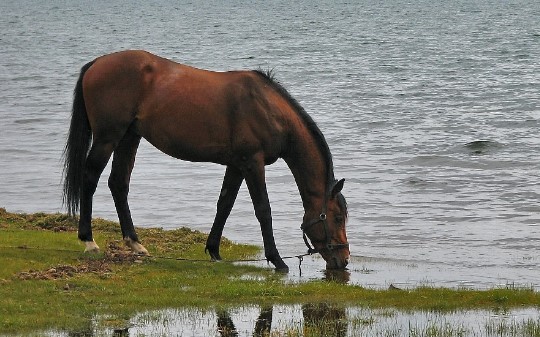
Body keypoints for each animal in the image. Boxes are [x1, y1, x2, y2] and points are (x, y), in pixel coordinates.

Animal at [63, 50, 350, 270]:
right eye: (337, 218)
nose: (344, 259)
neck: (267, 108)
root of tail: (96, 64)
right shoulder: (252, 163)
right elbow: (263, 210)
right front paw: (277, 259)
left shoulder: (236, 165)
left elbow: (224, 204)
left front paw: (214, 250)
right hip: (108, 137)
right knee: (90, 178)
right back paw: (89, 241)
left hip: (129, 137)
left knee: (118, 183)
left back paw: (135, 243)